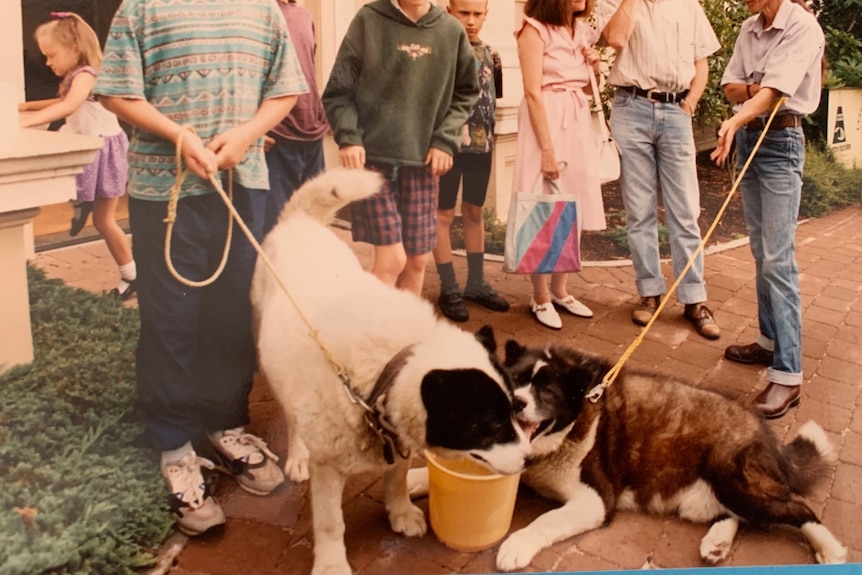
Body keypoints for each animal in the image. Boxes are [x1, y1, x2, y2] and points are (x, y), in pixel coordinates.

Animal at [250, 168, 532, 575]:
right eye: (492, 425)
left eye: (513, 412)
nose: (530, 460)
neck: (385, 370)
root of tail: (299, 221)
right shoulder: (329, 468)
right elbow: (331, 522)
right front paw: (332, 564)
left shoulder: (399, 439)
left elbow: (396, 480)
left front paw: (399, 513)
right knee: (291, 415)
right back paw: (298, 454)